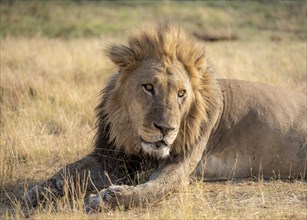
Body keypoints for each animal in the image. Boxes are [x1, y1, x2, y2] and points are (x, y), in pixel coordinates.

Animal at [24, 23, 307, 211]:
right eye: (148, 87)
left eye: (181, 93)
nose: (166, 129)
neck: (133, 139)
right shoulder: (111, 157)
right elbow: (67, 171)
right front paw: (38, 191)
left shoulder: (180, 165)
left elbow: (152, 190)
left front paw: (107, 198)